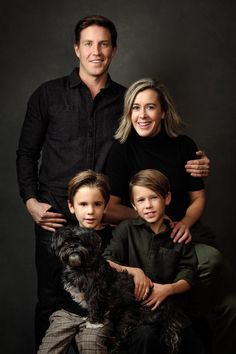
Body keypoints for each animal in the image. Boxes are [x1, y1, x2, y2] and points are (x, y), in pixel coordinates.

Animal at [52, 225, 187, 352]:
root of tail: (168, 305)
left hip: (130, 316)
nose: (73, 246)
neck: (81, 267)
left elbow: (95, 306)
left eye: (80, 241)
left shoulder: (96, 292)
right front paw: (88, 317)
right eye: (65, 243)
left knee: (123, 337)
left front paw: (94, 322)